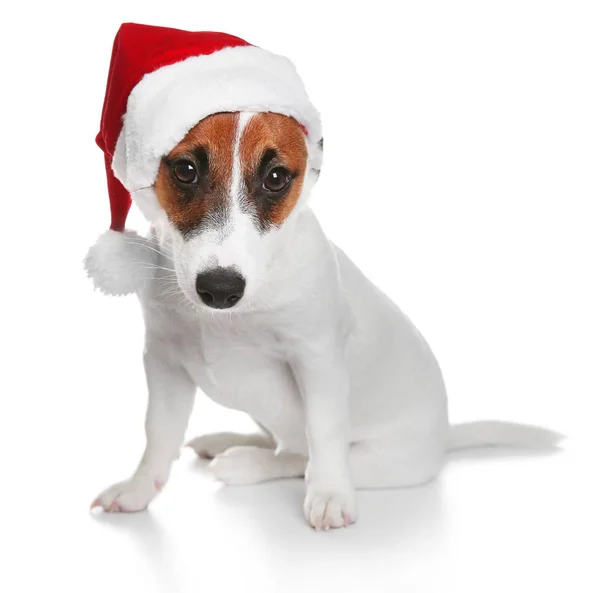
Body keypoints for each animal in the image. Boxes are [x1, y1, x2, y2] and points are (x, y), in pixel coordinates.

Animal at [86, 24, 560, 532]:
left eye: (276, 178)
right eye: (186, 170)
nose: (219, 290)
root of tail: (443, 440)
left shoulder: (317, 360)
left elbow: (325, 433)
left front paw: (331, 495)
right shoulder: (164, 362)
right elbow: (158, 434)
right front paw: (137, 490)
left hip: (381, 462)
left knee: (301, 457)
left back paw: (249, 463)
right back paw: (232, 442)